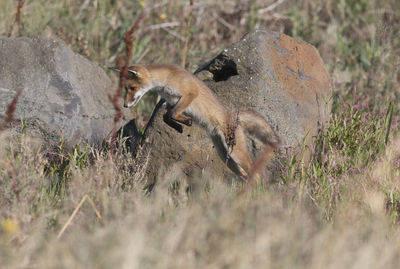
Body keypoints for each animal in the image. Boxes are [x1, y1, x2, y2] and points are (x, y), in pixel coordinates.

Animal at [109, 63, 278, 179]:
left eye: (132, 88)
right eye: (126, 89)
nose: (125, 105)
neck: (167, 79)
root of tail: (232, 115)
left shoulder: (189, 94)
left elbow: (172, 114)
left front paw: (185, 122)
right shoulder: (170, 102)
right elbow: (166, 116)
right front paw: (180, 126)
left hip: (236, 153)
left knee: (254, 172)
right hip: (225, 156)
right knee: (243, 173)